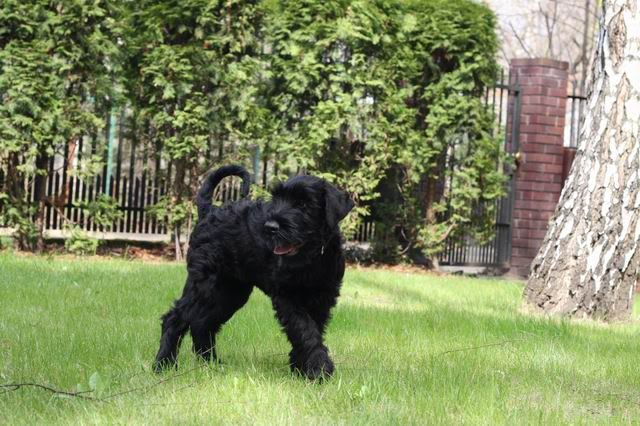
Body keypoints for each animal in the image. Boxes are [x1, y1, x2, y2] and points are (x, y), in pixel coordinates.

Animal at [154, 165, 354, 379]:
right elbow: (305, 330)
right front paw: (319, 369)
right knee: (174, 318)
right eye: (276, 198)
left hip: (230, 293)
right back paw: (163, 364)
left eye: (303, 204)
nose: (270, 227)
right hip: (204, 285)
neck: (313, 257)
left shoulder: (323, 298)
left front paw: (301, 368)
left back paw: (211, 363)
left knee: (202, 323)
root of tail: (209, 211)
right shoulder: (287, 297)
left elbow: (312, 329)